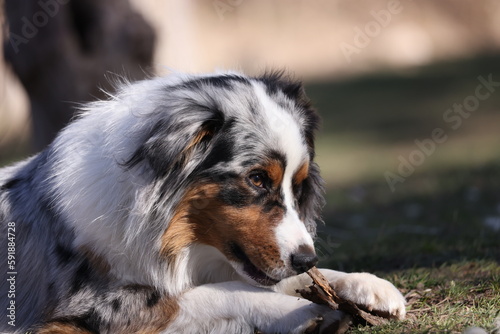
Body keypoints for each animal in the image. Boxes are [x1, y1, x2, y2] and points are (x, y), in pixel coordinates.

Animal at [0, 72, 406, 332]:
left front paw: (369, 285)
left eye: (299, 185)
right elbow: (222, 291)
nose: (308, 258)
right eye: (257, 179)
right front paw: (305, 311)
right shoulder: (101, 307)